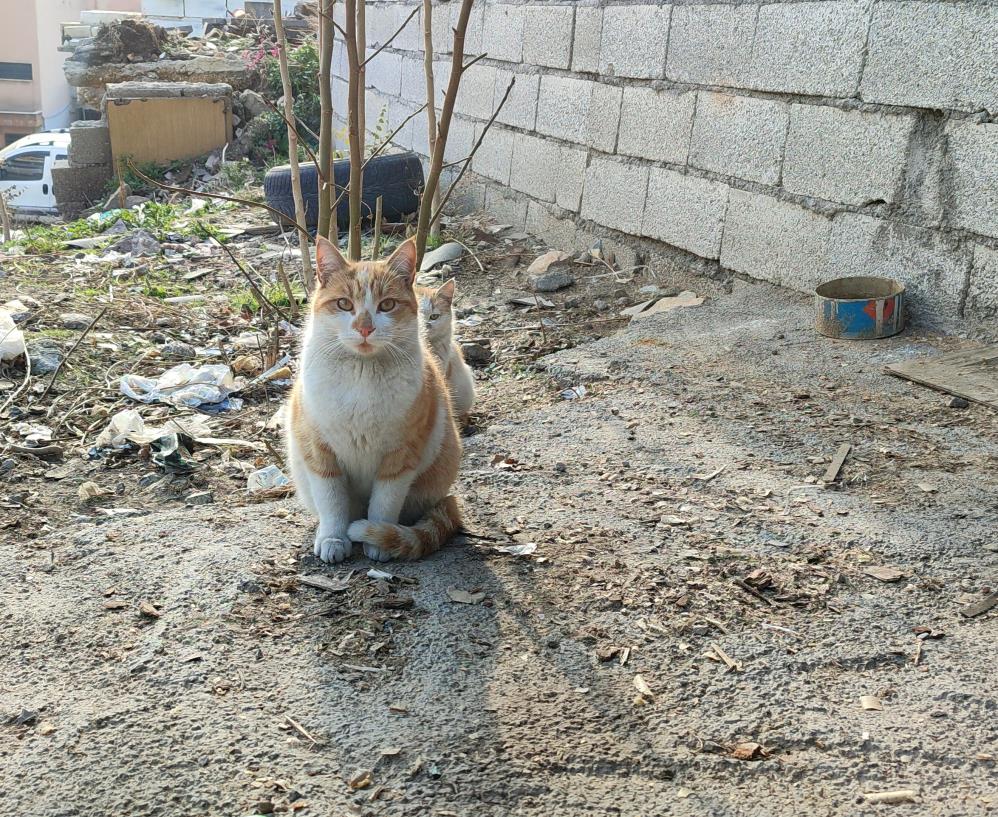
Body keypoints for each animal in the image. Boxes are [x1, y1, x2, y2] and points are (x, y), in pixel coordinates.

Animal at [288, 236, 462, 560]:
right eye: (344, 304)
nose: (365, 328)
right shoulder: (319, 452)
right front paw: (333, 538)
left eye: (387, 305)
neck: (362, 374)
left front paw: (377, 538)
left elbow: (384, 503)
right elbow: (332, 502)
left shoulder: (400, 457)